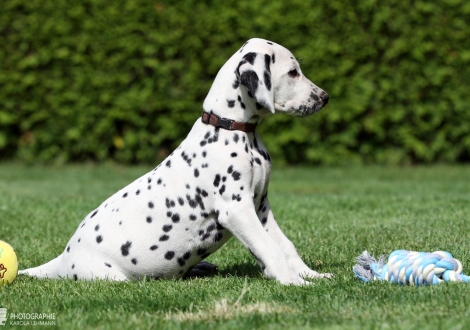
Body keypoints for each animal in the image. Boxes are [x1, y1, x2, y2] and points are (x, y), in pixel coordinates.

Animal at [21, 38, 330, 286]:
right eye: (293, 73)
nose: (325, 98)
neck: (232, 128)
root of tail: (62, 259)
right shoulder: (237, 210)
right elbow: (270, 249)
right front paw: (294, 282)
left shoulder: (261, 207)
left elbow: (285, 246)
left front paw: (310, 275)